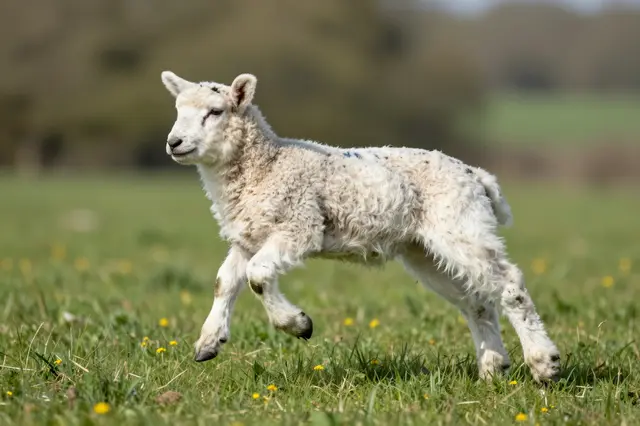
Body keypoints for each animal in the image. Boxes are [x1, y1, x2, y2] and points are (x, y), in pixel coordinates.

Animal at [160, 71, 561, 382]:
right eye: (177, 111)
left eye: (215, 112)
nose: (174, 143)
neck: (267, 165)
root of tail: (476, 176)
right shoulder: (248, 236)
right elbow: (224, 282)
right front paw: (209, 342)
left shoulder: (299, 224)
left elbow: (258, 276)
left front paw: (298, 324)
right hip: (425, 250)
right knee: (476, 301)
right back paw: (494, 367)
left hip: (459, 224)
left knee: (509, 283)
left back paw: (544, 363)